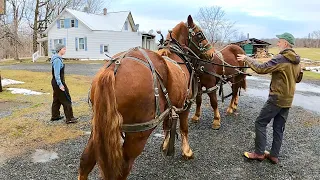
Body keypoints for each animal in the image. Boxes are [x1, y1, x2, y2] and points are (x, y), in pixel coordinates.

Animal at [77, 14, 215, 179]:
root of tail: (113, 69)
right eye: (200, 34)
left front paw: (166, 146)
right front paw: (187, 151)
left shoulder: (169, 107)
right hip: (138, 133)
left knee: (85, 161)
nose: (212, 53)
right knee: (124, 167)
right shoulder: (184, 105)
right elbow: (184, 128)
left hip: (99, 128)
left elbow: (167, 126)